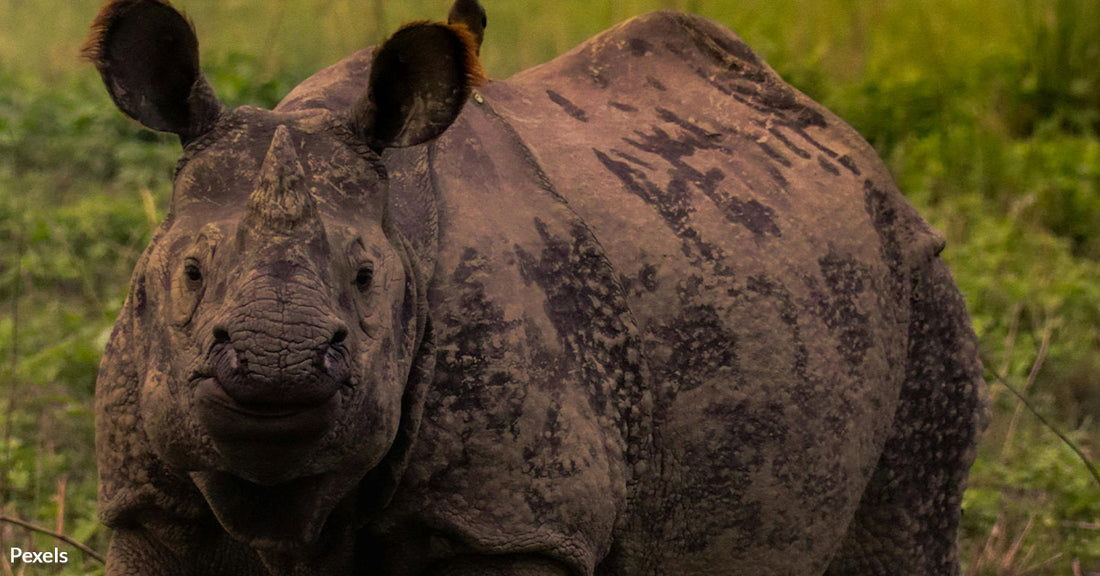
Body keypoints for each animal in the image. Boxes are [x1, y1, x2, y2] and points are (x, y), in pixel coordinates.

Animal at [85, 1, 989, 574]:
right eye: (189, 274)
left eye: (367, 278)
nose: (279, 363)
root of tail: (847, 140)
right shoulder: (148, 506)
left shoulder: (511, 523)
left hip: (920, 279)